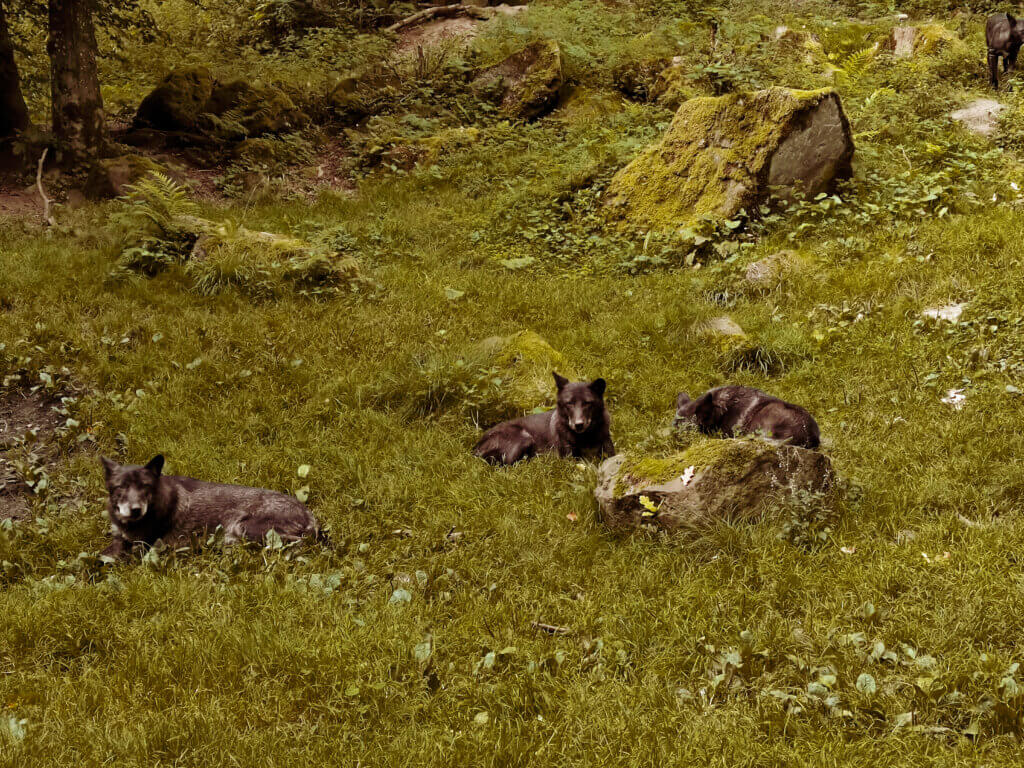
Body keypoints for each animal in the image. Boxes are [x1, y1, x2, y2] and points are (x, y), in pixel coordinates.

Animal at [96, 456, 319, 561]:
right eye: (121, 487)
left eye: (145, 486)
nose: (135, 510)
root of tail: (309, 514)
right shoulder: (120, 540)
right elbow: (98, 555)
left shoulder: (140, 547)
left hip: (245, 527)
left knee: (298, 543)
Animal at [473, 370, 614, 462]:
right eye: (569, 403)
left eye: (587, 403)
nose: (578, 425)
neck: (586, 438)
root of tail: (475, 448)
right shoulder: (570, 459)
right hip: (525, 438)